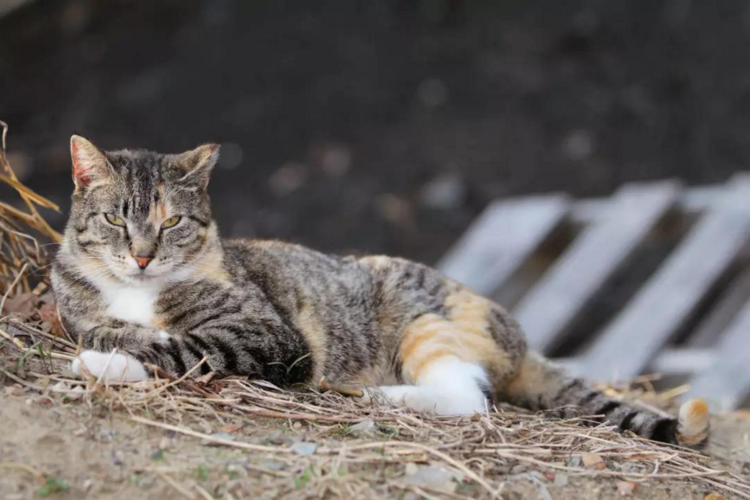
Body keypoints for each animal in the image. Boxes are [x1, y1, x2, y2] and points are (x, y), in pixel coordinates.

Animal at [53, 136, 712, 450]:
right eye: (115, 219)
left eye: (171, 223)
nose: (143, 255)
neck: (137, 291)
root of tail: (521, 337)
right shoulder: (78, 308)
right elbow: (116, 330)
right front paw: (110, 344)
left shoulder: (269, 336)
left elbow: (185, 349)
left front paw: (106, 363)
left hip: (420, 319)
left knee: (469, 398)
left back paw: (381, 397)